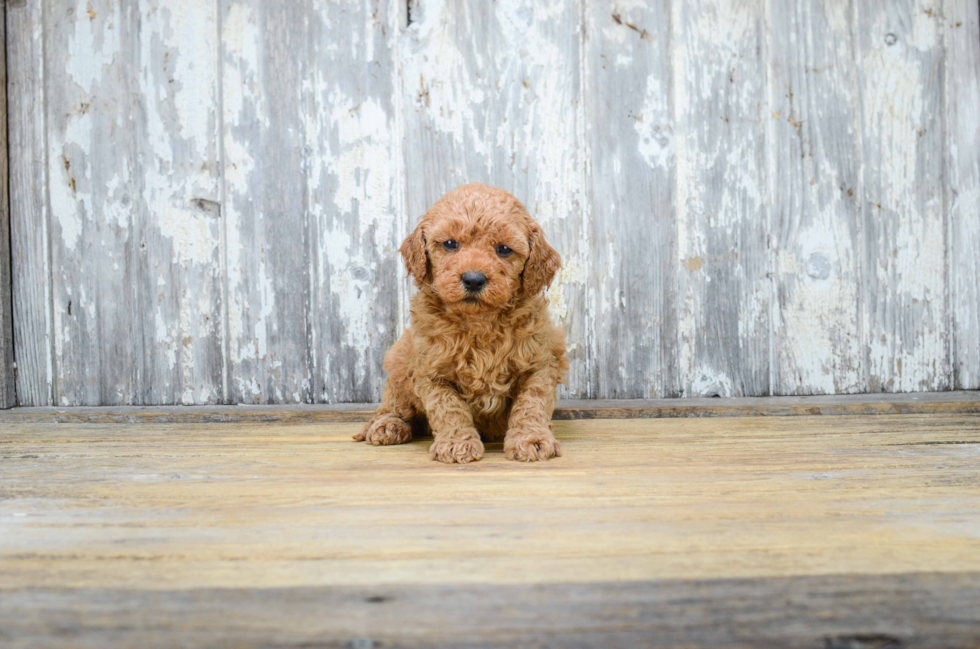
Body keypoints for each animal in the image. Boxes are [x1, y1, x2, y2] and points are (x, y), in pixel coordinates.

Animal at [352, 182, 568, 464]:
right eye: (450, 244)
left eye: (504, 249)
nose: (474, 279)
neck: (479, 321)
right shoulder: (432, 370)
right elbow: (448, 407)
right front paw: (457, 443)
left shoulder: (539, 363)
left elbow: (531, 404)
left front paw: (531, 439)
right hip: (400, 361)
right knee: (392, 405)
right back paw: (389, 425)